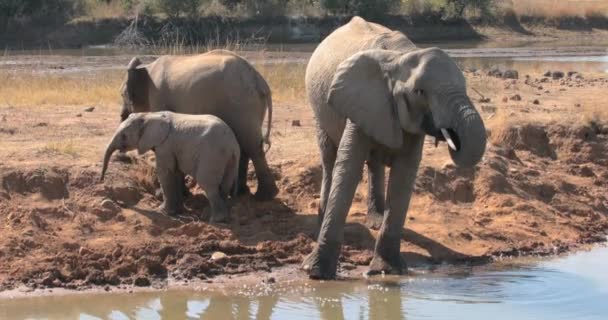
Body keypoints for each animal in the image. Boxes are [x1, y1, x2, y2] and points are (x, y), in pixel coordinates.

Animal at [100, 111, 240, 221]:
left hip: (212, 154)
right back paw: (212, 216)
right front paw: (178, 211)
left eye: (124, 136)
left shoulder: (165, 145)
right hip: (229, 159)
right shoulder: (171, 148)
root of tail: (232, 144)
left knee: (208, 184)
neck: (149, 115)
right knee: (225, 185)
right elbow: (175, 172)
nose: (101, 181)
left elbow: (165, 173)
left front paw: (163, 211)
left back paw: (216, 219)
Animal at [119, 49, 280, 201]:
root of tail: (259, 81)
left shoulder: (157, 96)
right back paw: (241, 193)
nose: (122, 156)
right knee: (245, 145)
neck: (146, 67)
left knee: (252, 146)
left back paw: (264, 196)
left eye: (122, 95)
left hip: (241, 102)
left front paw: (170, 195)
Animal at [304, 16, 490, 278]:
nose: (451, 135)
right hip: (318, 107)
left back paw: (375, 221)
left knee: (373, 163)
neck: (401, 57)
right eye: (420, 92)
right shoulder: (362, 100)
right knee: (329, 159)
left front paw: (386, 271)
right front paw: (316, 273)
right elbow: (348, 168)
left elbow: (404, 174)